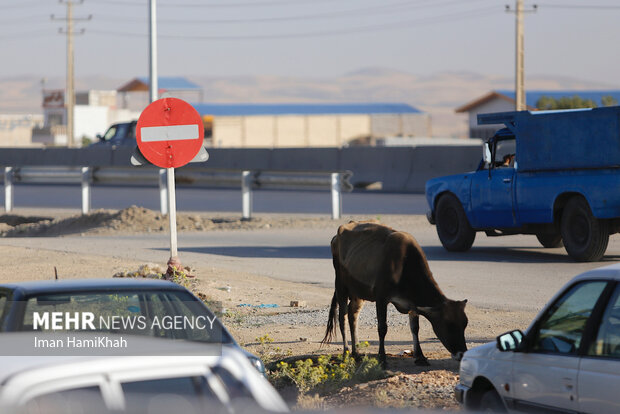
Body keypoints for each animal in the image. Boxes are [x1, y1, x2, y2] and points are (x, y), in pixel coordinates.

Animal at [322, 222, 468, 368]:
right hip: (340, 286)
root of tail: (337, 235)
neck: (405, 266)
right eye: (449, 325)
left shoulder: (412, 304)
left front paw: (420, 356)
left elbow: (415, 328)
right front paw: (382, 358)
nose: (462, 354)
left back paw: (356, 352)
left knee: (353, 315)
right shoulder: (381, 298)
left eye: (465, 324)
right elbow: (382, 328)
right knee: (342, 317)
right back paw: (346, 352)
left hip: (358, 293)